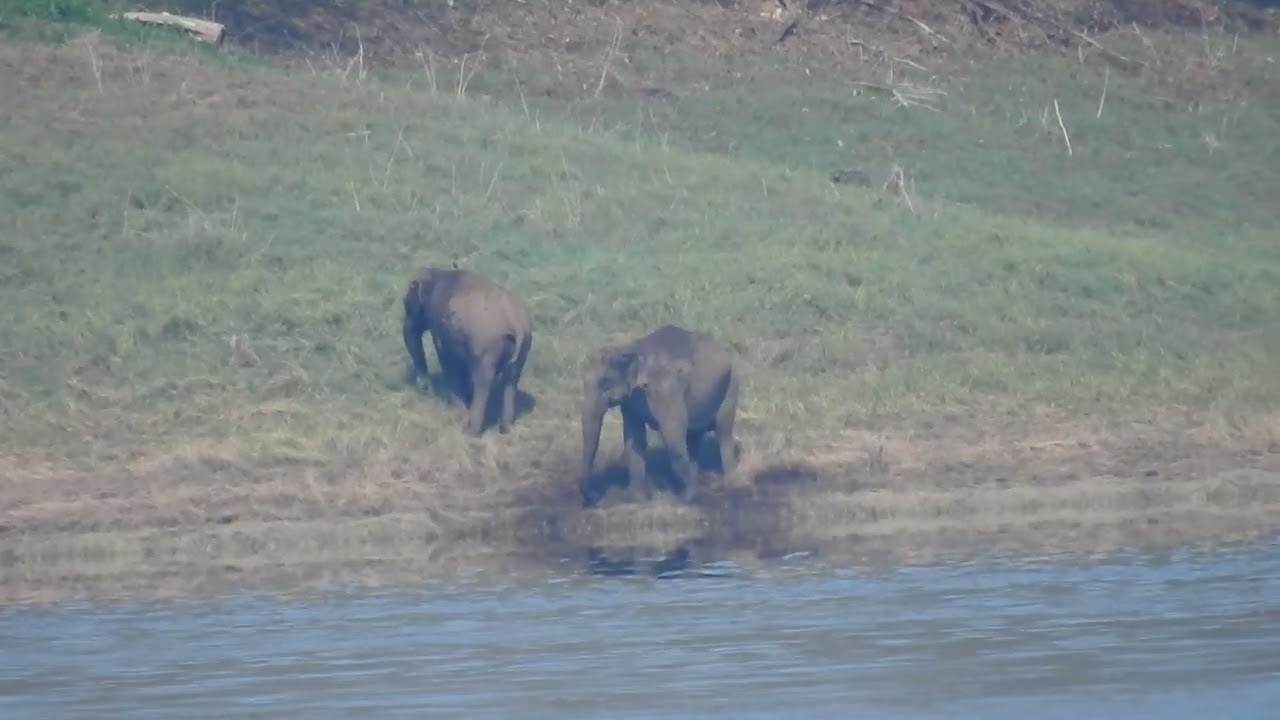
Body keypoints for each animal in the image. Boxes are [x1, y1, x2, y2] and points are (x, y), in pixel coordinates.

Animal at [401, 265, 533, 436]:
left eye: (406, 305)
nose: (425, 388)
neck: (439, 272)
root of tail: (515, 323)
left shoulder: (440, 326)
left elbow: (447, 359)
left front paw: (457, 408)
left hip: (486, 345)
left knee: (483, 380)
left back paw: (470, 431)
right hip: (524, 346)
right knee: (512, 378)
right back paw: (505, 428)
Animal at [579, 324, 741, 506]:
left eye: (605, 383)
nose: (596, 498)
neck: (629, 349)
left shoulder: (666, 391)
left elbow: (672, 436)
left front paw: (686, 499)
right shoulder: (629, 402)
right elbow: (633, 439)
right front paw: (638, 499)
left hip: (731, 386)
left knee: (723, 432)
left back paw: (725, 485)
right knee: (693, 438)